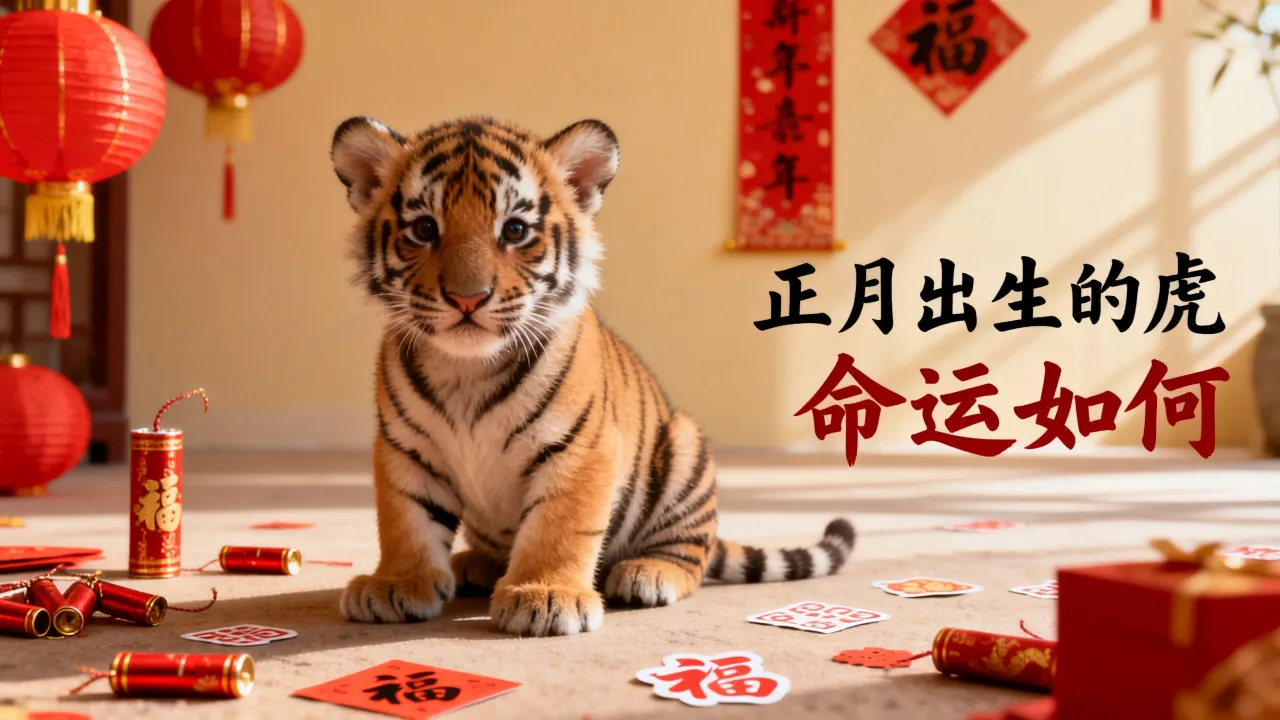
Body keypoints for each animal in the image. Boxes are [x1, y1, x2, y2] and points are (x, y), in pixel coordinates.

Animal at [330, 114, 856, 637]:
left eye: (515, 230)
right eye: (424, 228)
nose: (467, 298)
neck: (467, 369)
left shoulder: (579, 447)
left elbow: (560, 525)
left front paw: (546, 596)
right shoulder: (404, 448)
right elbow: (408, 520)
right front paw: (397, 584)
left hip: (685, 450)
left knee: (691, 555)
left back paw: (647, 574)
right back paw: (474, 565)